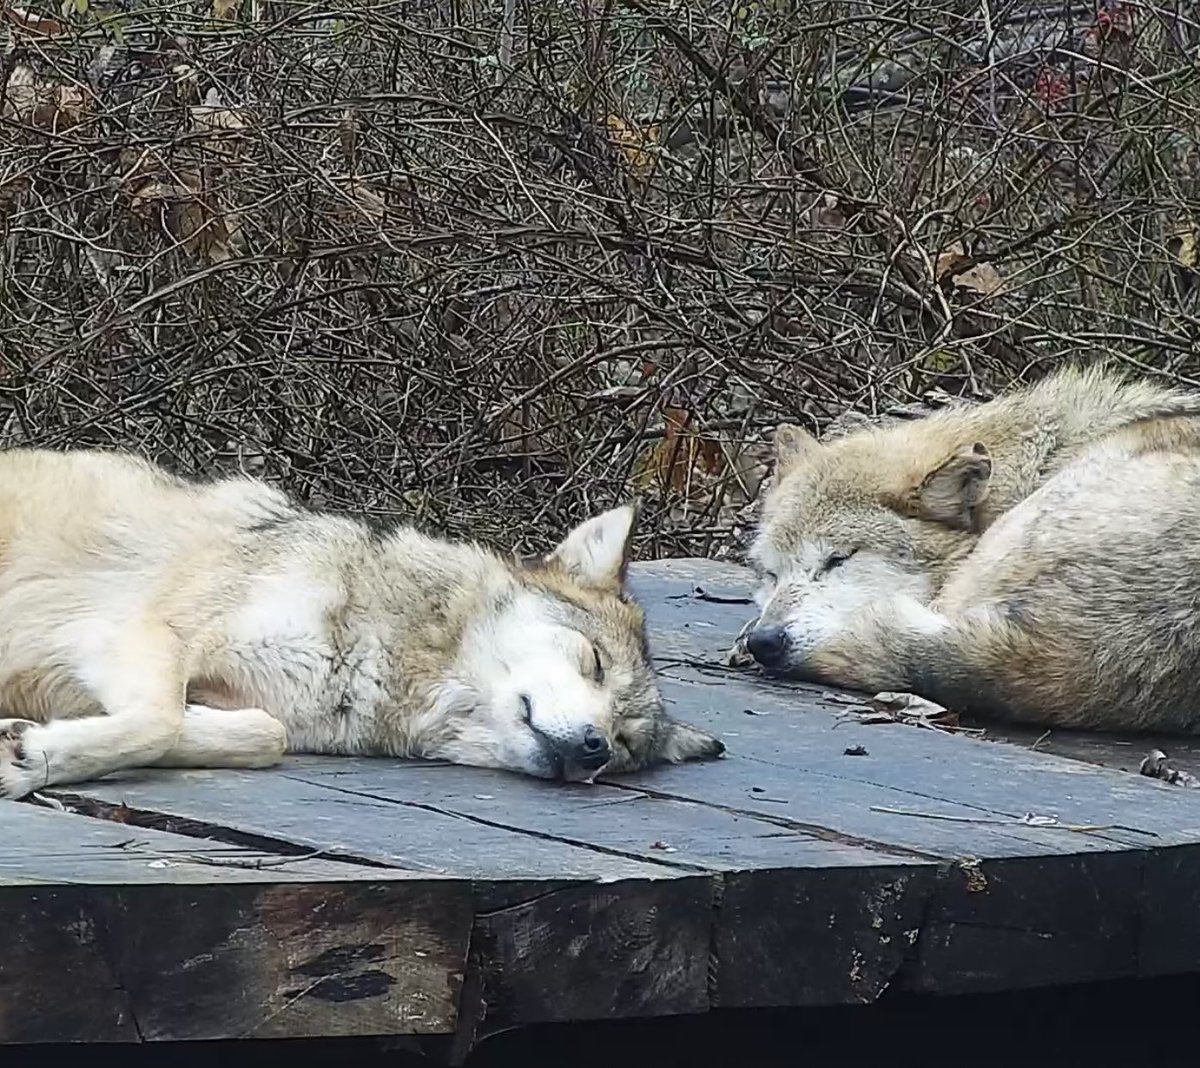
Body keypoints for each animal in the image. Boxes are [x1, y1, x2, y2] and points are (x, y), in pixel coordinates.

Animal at [0, 447, 724, 800]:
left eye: (625, 745)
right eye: (593, 662)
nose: (595, 750)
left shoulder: (254, 706)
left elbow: (258, 736)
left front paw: (27, 739)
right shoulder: (144, 632)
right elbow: (158, 721)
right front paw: (31, 759)